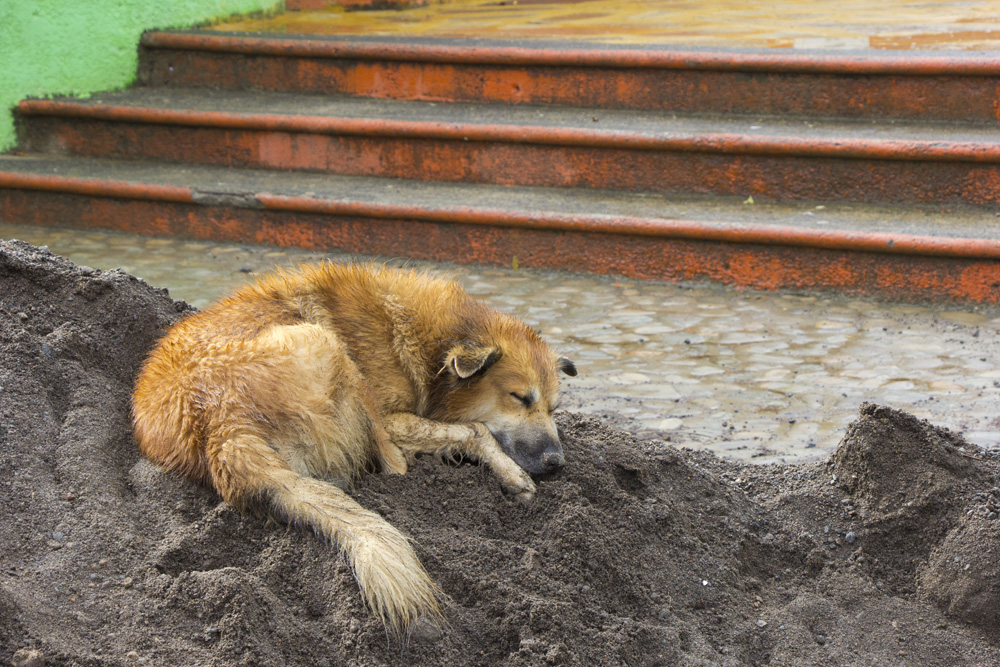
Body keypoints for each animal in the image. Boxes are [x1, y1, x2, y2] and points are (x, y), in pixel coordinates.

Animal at [131, 260, 580, 636]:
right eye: (520, 398)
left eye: (554, 407)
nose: (556, 462)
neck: (426, 344)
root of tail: (218, 423)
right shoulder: (394, 418)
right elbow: (475, 430)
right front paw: (512, 476)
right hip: (325, 344)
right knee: (397, 464)